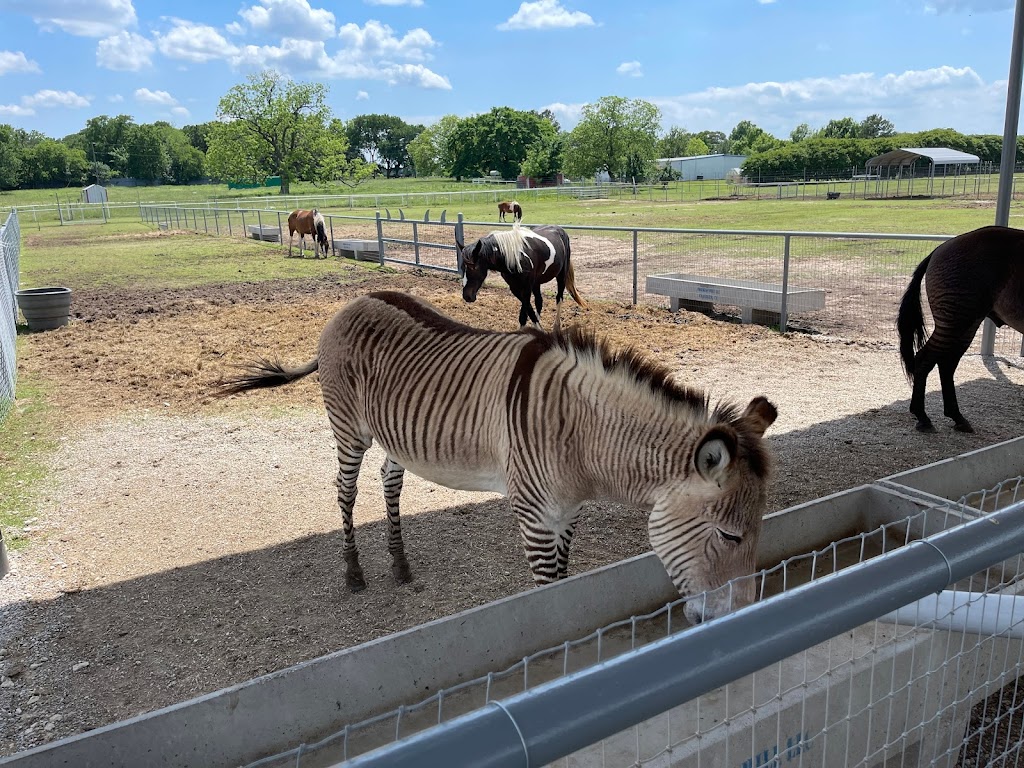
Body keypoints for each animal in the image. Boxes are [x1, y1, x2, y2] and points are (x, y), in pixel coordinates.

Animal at [454, 222, 589, 331]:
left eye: (474, 267)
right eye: (462, 267)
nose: (467, 296)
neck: (514, 257)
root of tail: (559, 230)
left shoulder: (526, 287)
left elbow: (523, 315)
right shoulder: (515, 288)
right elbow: (529, 309)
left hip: (561, 276)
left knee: (559, 298)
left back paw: (556, 327)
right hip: (537, 283)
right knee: (539, 301)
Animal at [897, 225, 1024, 436]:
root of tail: (941, 248)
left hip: (966, 325)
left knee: (946, 364)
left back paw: (956, 417)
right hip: (956, 321)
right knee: (926, 359)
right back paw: (923, 416)